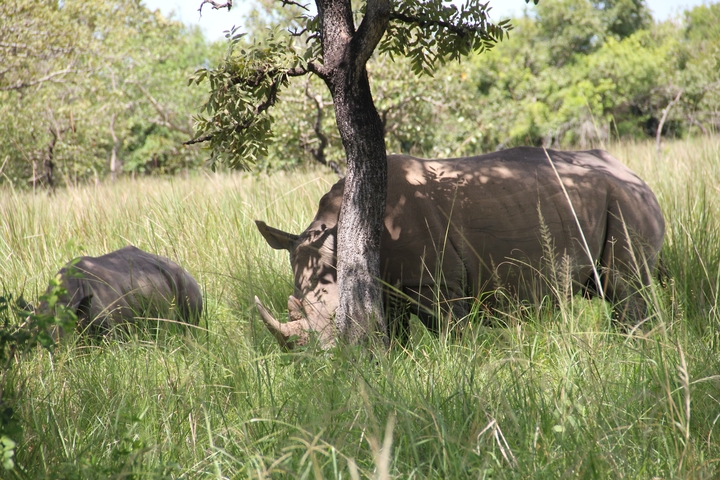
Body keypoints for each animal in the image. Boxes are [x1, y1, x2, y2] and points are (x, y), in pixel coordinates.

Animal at [254, 147, 665, 349]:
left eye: (337, 313)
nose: (315, 357)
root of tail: (629, 170)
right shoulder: (390, 286)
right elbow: (395, 333)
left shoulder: (435, 283)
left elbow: (449, 329)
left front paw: (457, 364)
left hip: (625, 198)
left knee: (624, 285)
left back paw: (632, 349)